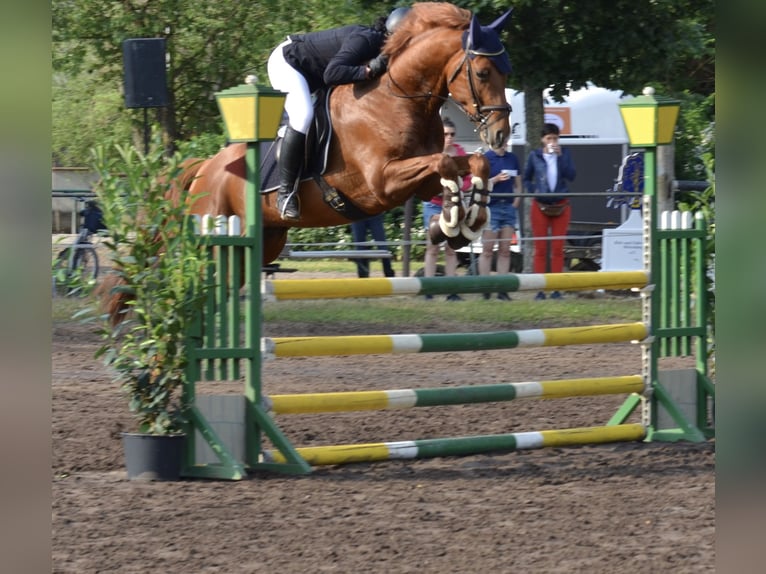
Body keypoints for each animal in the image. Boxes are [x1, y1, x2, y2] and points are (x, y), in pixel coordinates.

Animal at [180, 1, 512, 264]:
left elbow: (474, 163)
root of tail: (205, 168)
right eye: (482, 73)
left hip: (267, 240)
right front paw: (451, 223)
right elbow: (444, 162)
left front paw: (467, 223)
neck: (399, 97)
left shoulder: (423, 184)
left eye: (505, 72)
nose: (500, 135)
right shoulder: (382, 181)